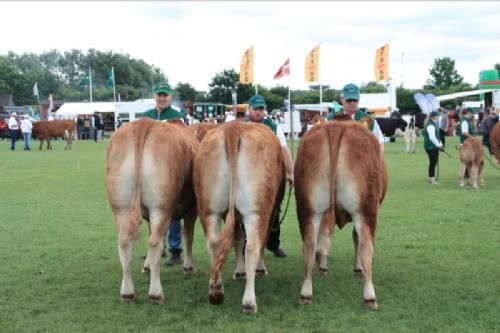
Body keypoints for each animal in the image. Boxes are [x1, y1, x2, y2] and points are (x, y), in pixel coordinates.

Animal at [105, 117, 199, 304]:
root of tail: (144, 123)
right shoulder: (192, 209)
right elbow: (188, 236)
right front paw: (188, 267)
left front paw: (146, 267)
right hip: (161, 208)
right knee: (155, 242)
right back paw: (155, 293)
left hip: (121, 208)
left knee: (125, 243)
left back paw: (127, 293)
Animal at [192, 120, 284, 312]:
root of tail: (234, 128)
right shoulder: (271, 211)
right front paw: (259, 269)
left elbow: (237, 238)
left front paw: (239, 271)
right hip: (257, 211)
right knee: (253, 246)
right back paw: (249, 302)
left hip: (208, 208)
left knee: (214, 243)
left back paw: (216, 291)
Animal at [294, 118, 388, 308]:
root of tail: (336, 126)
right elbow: (356, 239)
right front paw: (358, 268)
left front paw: (322, 265)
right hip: (365, 211)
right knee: (365, 244)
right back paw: (369, 297)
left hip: (309, 208)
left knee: (309, 244)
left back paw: (306, 293)